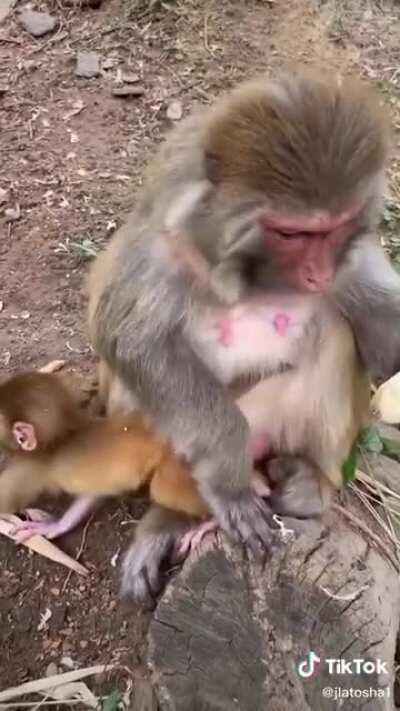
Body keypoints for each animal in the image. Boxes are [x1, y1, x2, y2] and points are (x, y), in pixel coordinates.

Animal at [0, 370, 271, 546]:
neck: (62, 436)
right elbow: (94, 494)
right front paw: (57, 525)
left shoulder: (27, 469)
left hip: (177, 465)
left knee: (164, 489)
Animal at [87, 70, 392, 602]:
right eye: (292, 234)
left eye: (334, 228)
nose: (317, 275)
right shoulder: (161, 250)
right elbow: (135, 342)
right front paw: (228, 486)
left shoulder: (349, 260)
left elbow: (378, 327)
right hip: (149, 435)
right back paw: (171, 518)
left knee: (333, 333)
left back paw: (311, 483)